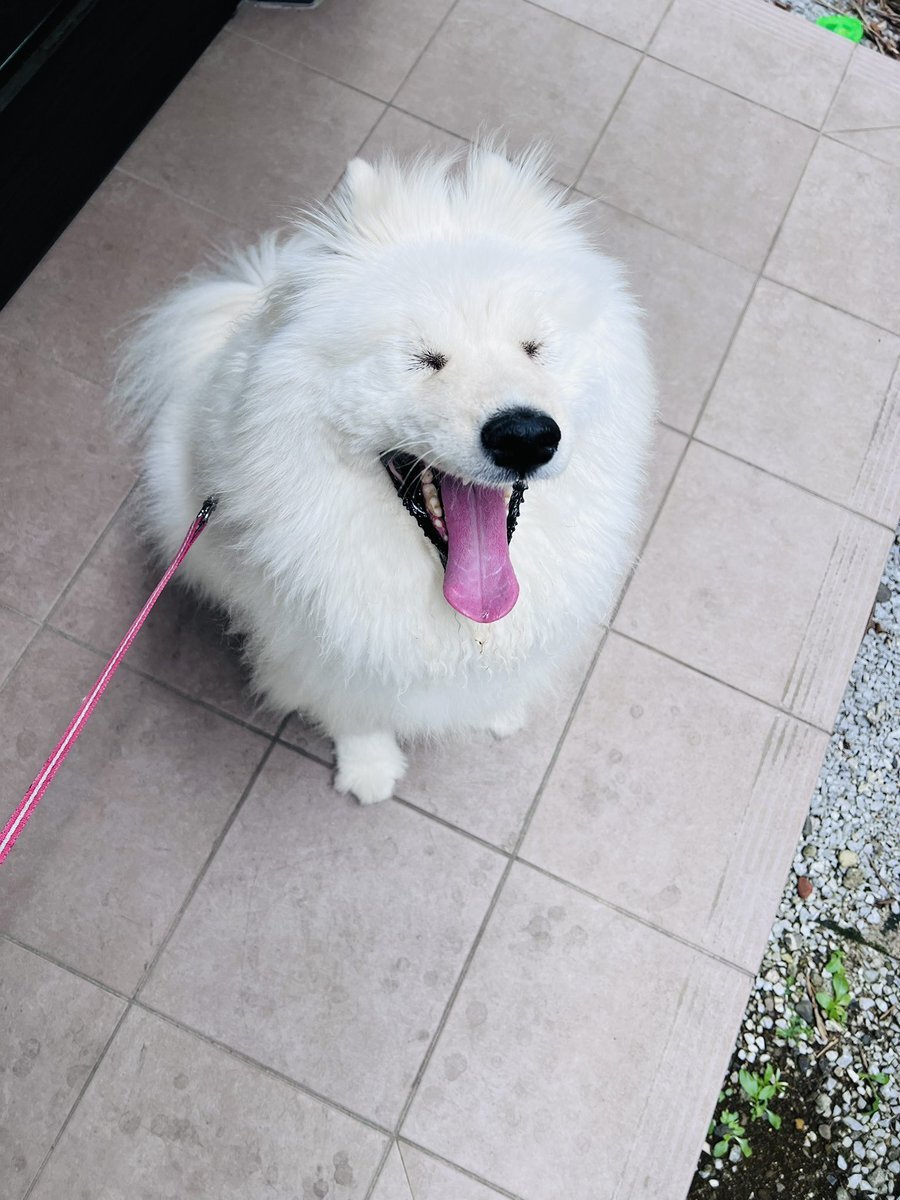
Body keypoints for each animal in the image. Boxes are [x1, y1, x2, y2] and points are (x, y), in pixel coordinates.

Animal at [116, 144, 655, 804]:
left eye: (534, 349)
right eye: (423, 359)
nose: (525, 435)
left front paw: (497, 710)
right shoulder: (322, 649)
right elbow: (354, 712)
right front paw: (369, 769)